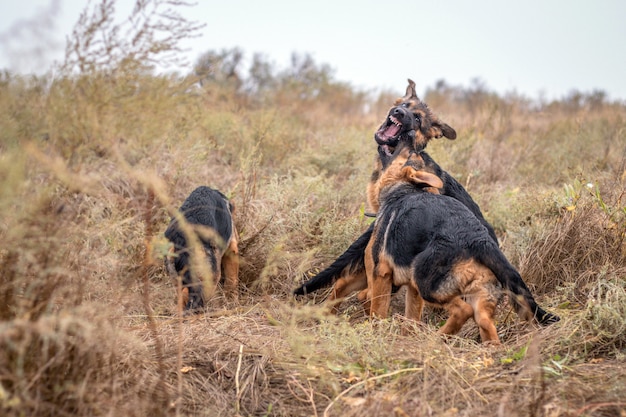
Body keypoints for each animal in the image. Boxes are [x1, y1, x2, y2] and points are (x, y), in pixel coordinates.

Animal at [364, 138, 560, 342]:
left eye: (410, 153)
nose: (407, 139)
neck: (402, 190)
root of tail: (479, 239)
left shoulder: (381, 274)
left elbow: (376, 312)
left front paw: (375, 335)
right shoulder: (412, 290)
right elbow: (410, 320)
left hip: (427, 284)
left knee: (462, 311)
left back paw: (437, 338)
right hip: (477, 297)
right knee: (486, 325)